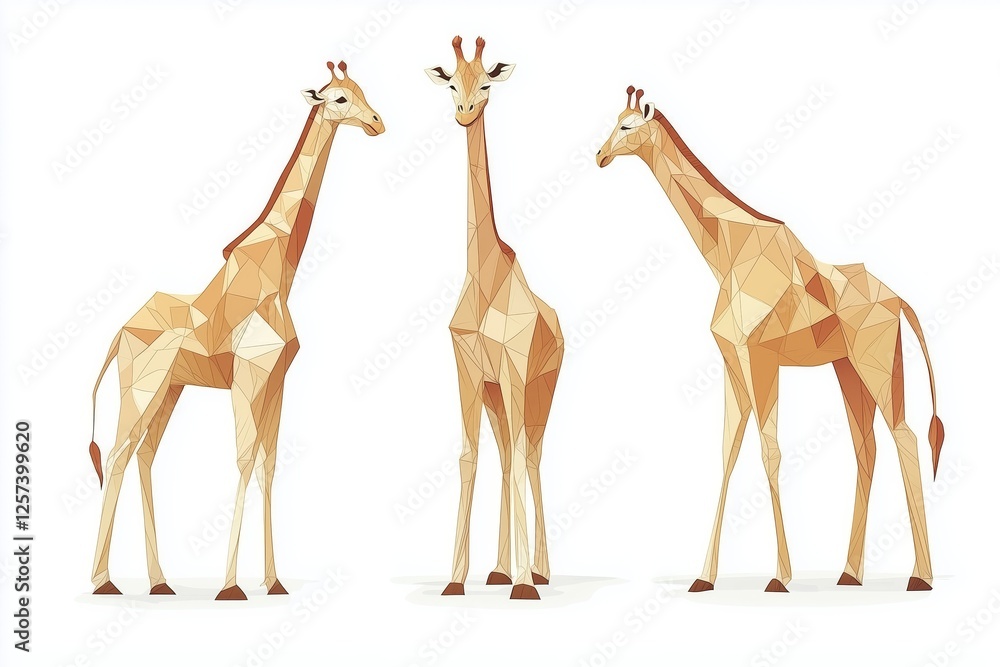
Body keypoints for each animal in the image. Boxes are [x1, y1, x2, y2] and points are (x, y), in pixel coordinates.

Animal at [86, 61, 384, 600]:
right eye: (339, 99)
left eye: (363, 91)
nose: (377, 122)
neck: (280, 271)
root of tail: (119, 332)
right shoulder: (248, 375)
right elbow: (244, 460)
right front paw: (231, 587)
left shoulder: (277, 381)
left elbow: (269, 465)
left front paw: (274, 581)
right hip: (141, 387)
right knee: (118, 454)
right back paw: (103, 582)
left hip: (170, 389)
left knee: (144, 457)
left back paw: (160, 583)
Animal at [596, 86, 944, 592]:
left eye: (626, 126)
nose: (599, 156)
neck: (727, 251)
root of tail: (899, 300)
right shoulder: (732, 362)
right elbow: (727, 452)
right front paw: (704, 578)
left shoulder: (760, 358)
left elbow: (770, 450)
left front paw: (780, 577)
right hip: (847, 368)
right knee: (867, 447)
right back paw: (849, 574)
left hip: (875, 360)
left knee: (906, 437)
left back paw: (920, 576)